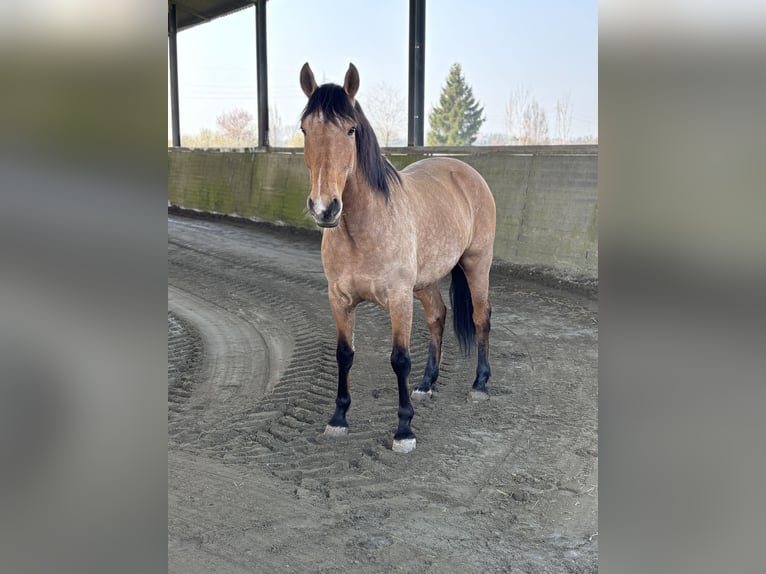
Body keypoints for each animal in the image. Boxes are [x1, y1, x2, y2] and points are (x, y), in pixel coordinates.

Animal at [299, 62, 496, 453]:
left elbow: (399, 359)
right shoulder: (339, 300)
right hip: (427, 281)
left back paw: (480, 384)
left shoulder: (399, 299)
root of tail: (466, 172)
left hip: (476, 263)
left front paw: (404, 429)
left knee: (481, 317)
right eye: (304, 129)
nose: (324, 208)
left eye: (351, 129)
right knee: (437, 317)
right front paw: (338, 418)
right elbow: (345, 354)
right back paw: (427, 383)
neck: (362, 228)